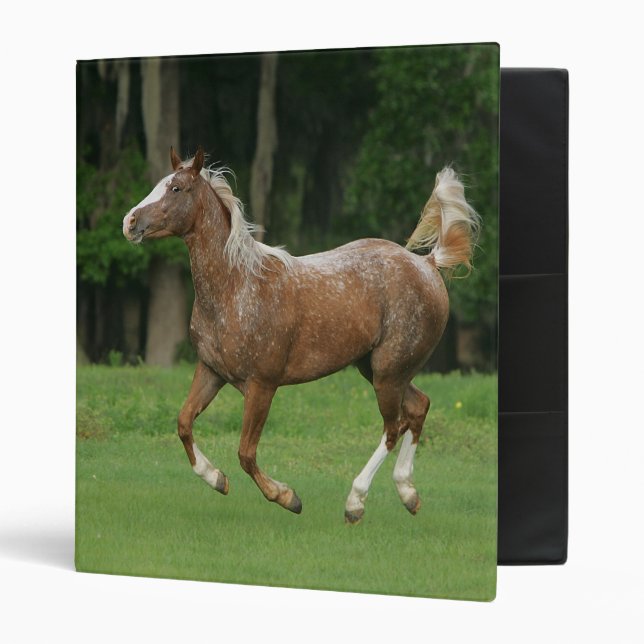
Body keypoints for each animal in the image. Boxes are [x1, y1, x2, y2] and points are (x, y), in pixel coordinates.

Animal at [122, 147, 479, 523]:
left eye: (176, 188)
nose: (129, 222)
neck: (236, 288)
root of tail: (427, 265)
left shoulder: (262, 385)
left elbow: (246, 453)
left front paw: (287, 497)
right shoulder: (211, 372)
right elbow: (184, 423)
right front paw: (217, 479)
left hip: (388, 372)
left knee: (393, 427)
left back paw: (355, 502)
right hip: (379, 369)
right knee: (418, 408)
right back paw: (408, 494)